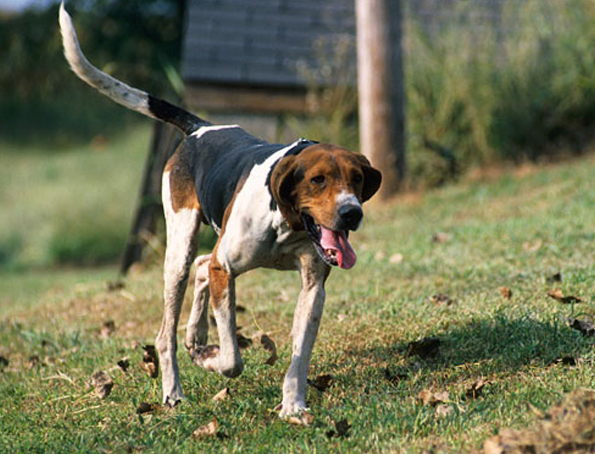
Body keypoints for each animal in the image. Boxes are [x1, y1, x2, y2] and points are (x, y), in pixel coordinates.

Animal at [58, 2, 380, 418]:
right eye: (318, 180)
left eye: (356, 179)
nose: (351, 214)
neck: (287, 223)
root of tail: (201, 127)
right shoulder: (226, 269)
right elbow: (231, 359)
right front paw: (210, 357)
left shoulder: (313, 289)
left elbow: (299, 356)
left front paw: (293, 405)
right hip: (178, 249)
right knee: (168, 328)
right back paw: (174, 388)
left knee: (200, 268)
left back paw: (195, 336)